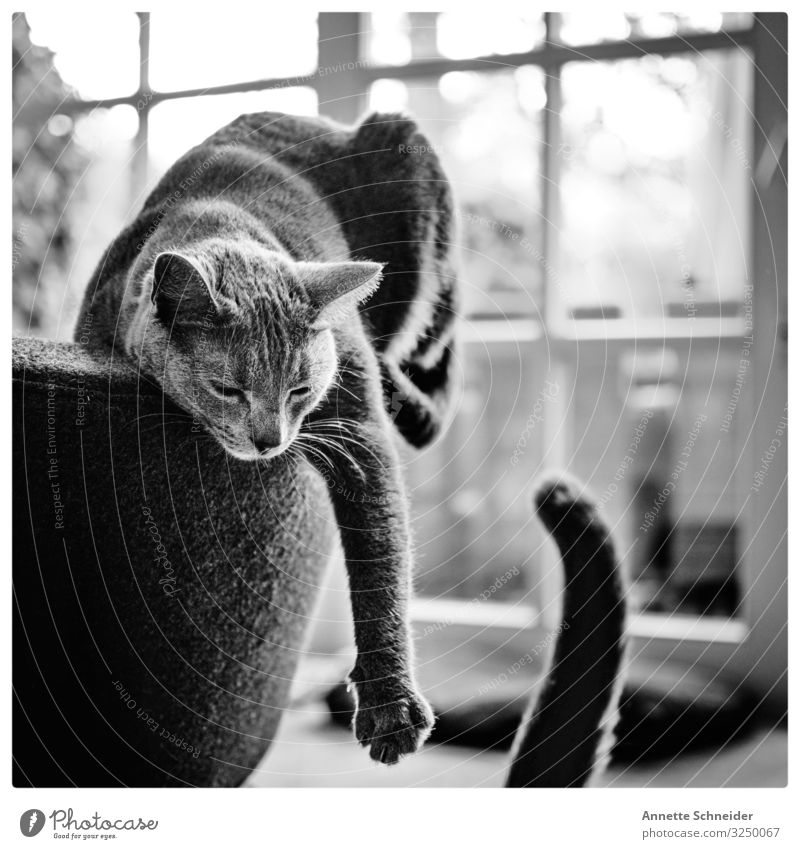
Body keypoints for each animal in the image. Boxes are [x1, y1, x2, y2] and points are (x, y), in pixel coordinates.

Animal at [75, 109, 462, 764]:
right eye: (228, 389)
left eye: (301, 390)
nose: (269, 441)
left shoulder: (356, 427)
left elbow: (380, 556)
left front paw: (389, 705)